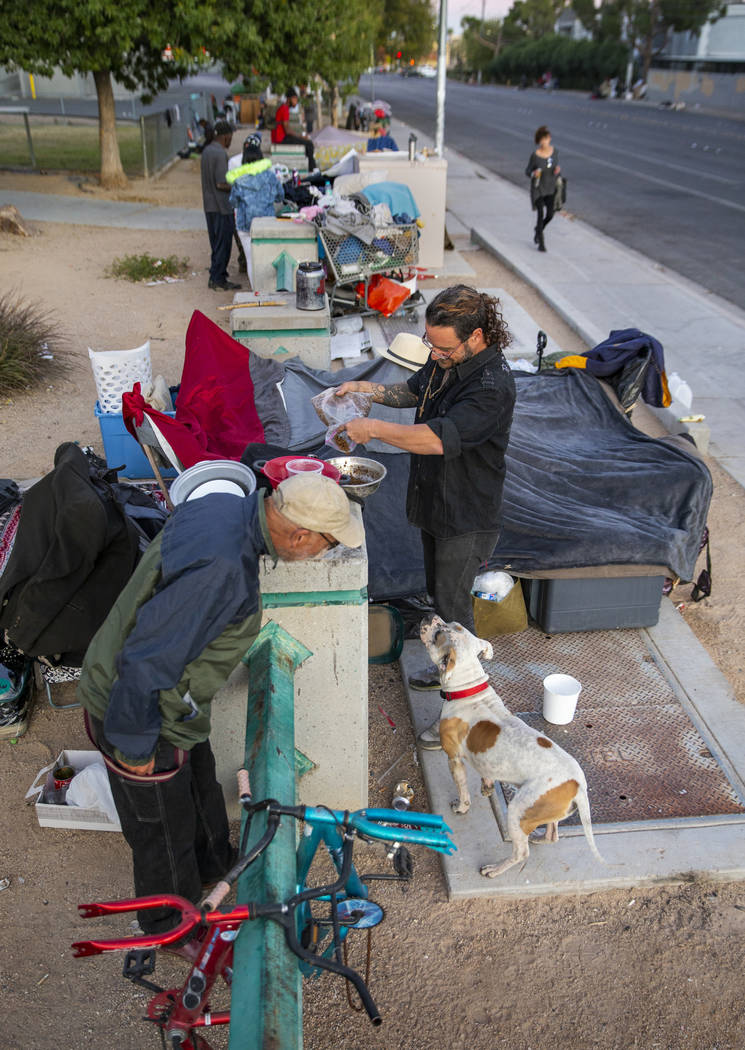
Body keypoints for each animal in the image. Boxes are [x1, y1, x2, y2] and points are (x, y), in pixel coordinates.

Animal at [419, 613, 608, 877]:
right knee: (551, 834)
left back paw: (494, 869)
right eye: (453, 625)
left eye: (438, 635)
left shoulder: (454, 759)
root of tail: (578, 786)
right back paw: (539, 837)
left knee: (521, 853)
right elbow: (486, 774)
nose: (430, 616)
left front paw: (461, 807)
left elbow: (462, 790)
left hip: (518, 810)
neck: (468, 688)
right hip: (541, 814)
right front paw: (487, 787)